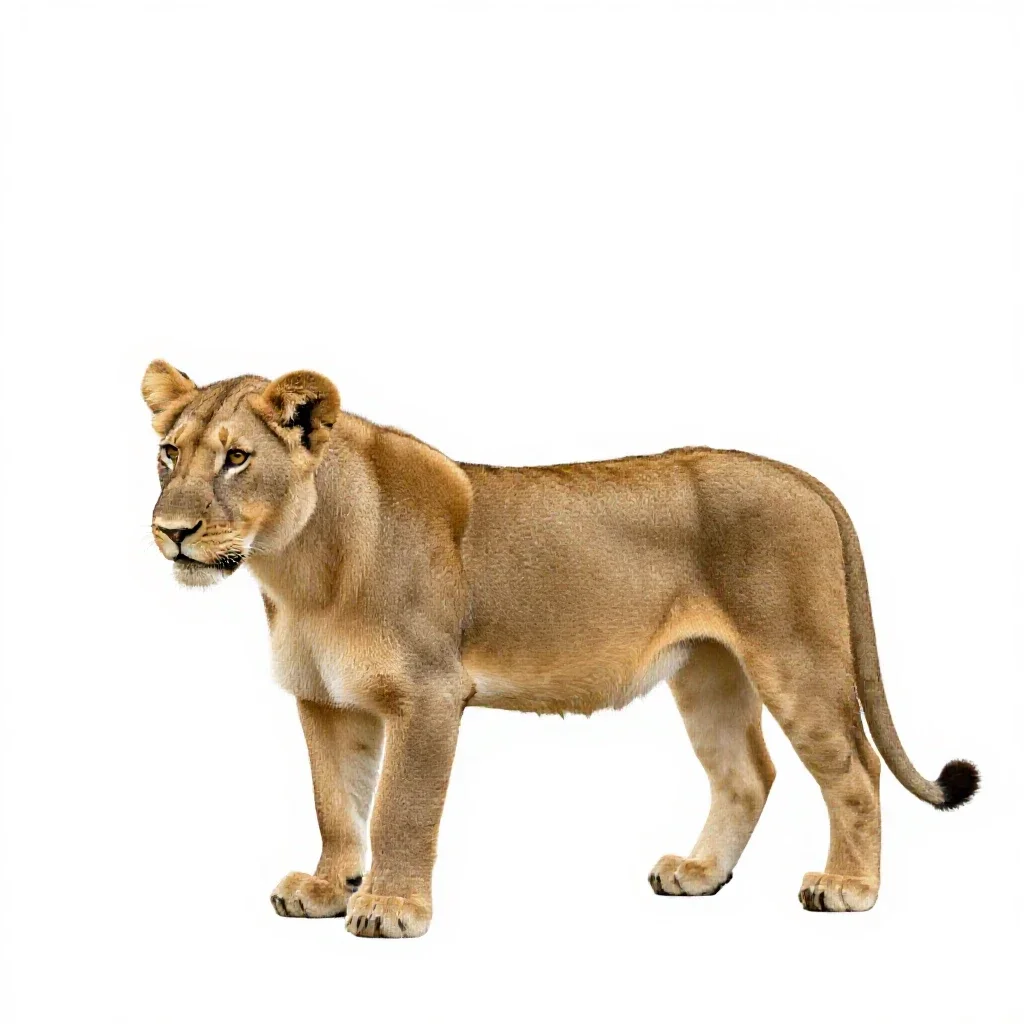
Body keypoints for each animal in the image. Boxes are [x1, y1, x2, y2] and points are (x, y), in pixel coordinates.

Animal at [142, 359, 978, 937]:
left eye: (237, 458)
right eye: (169, 454)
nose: (170, 531)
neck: (301, 568)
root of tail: (802, 476)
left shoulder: (430, 695)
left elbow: (400, 810)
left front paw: (390, 907)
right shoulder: (324, 700)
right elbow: (335, 806)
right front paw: (326, 889)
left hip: (796, 658)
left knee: (856, 770)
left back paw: (848, 888)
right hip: (710, 668)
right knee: (748, 774)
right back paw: (700, 874)